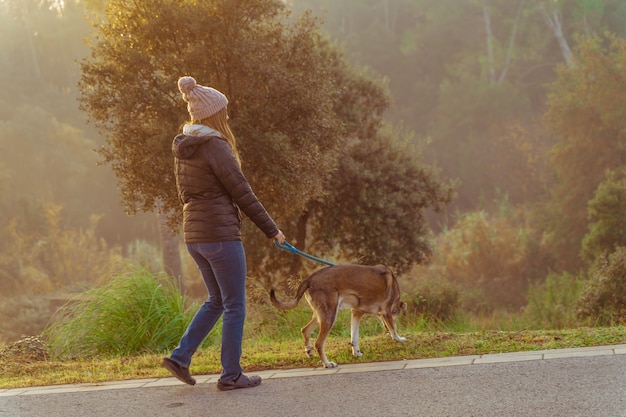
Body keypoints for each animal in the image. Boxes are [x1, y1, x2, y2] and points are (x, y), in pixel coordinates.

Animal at [266, 264, 404, 368]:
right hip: (330, 315)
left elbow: (354, 336)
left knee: (305, 330)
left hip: (321, 315)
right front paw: (399, 338)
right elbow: (393, 329)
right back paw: (327, 364)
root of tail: (309, 279)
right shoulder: (386, 312)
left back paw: (309, 351)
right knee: (319, 343)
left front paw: (356, 352)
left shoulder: (356, 312)